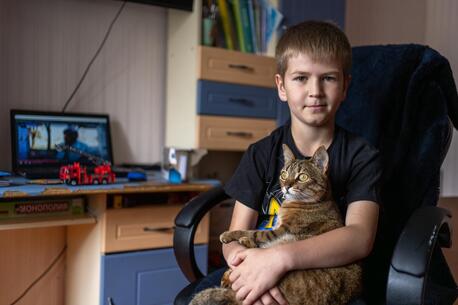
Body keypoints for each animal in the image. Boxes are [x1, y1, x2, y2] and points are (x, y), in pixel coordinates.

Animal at [190, 144, 362, 304]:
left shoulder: (280, 230)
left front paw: (229, 234)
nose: (286, 186)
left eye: (302, 177)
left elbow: (253, 231)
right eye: (284, 174)